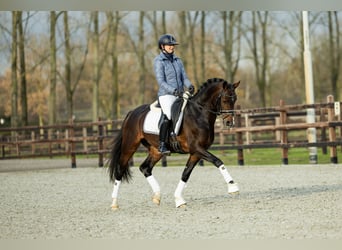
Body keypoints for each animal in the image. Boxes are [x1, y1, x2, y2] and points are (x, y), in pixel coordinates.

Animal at [108, 77, 239, 209]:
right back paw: (114, 203)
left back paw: (157, 196)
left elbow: (185, 174)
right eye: (225, 99)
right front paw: (232, 186)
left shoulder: (196, 152)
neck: (198, 115)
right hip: (129, 146)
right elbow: (218, 161)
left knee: (145, 168)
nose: (230, 122)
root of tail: (132, 113)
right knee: (120, 170)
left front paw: (179, 199)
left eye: (235, 99)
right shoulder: (197, 148)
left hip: (156, 151)